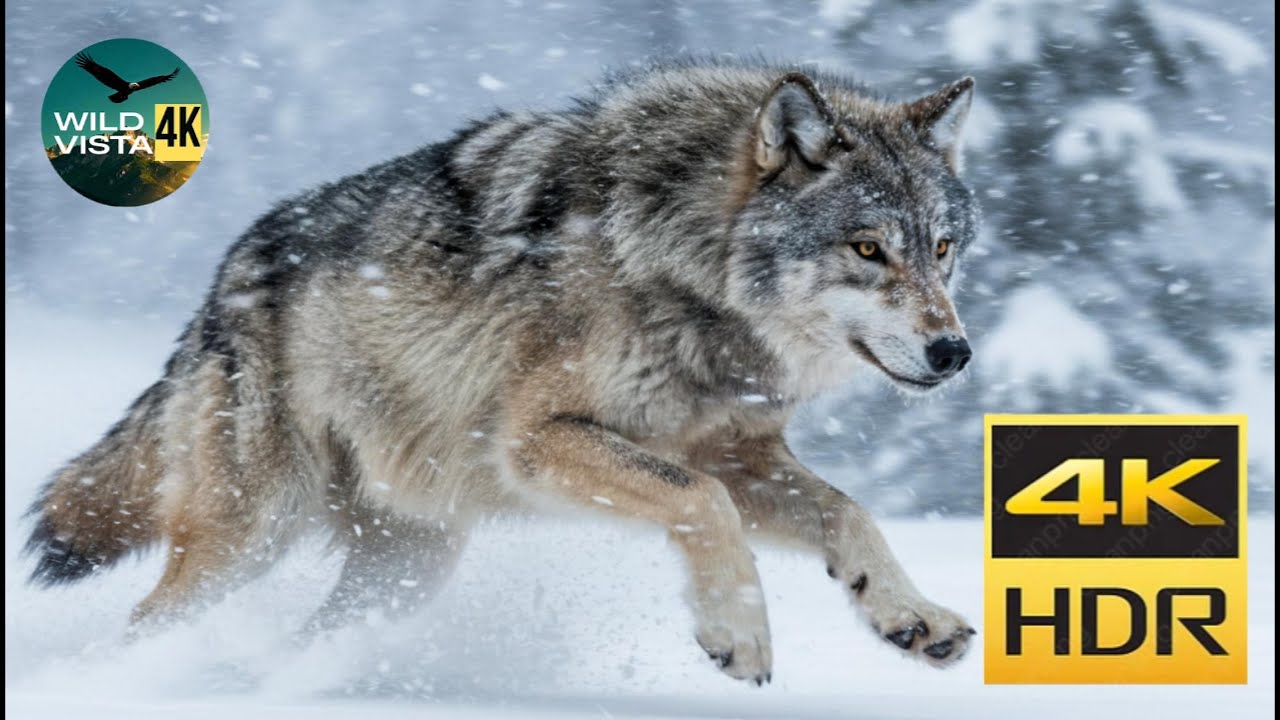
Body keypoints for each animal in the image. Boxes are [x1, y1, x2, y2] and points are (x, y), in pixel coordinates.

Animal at [27, 59, 981, 684]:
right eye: (868, 249)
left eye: (941, 250)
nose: (955, 353)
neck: (686, 266)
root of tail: (224, 277)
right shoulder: (539, 442)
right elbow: (702, 505)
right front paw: (738, 633)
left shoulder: (738, 452)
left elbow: (849, 513)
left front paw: (911, 614)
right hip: (251, 536)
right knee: (142, 626)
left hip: (408, 568)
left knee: (307, 637)